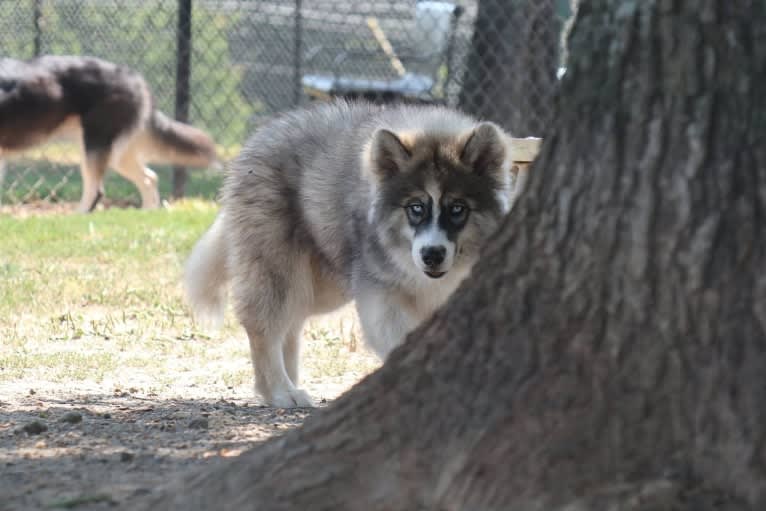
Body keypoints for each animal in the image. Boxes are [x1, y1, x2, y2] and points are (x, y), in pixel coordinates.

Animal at [0, 56, 218, 214]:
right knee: (150, 177)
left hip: (97, 145)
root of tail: (135, 78)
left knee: (97, 190)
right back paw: (147, 214)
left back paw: (77, 217)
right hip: (115, 153)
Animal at [186, 98, 516, 406]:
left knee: (292, 321)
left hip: (322, 283)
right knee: (264, 325)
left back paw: (289, 383)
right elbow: (399, 337)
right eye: (416, 208)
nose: (431, 255)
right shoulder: (382, 295)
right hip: (276, 264)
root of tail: (265, 133)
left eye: (458, 208)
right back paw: (279, 391)